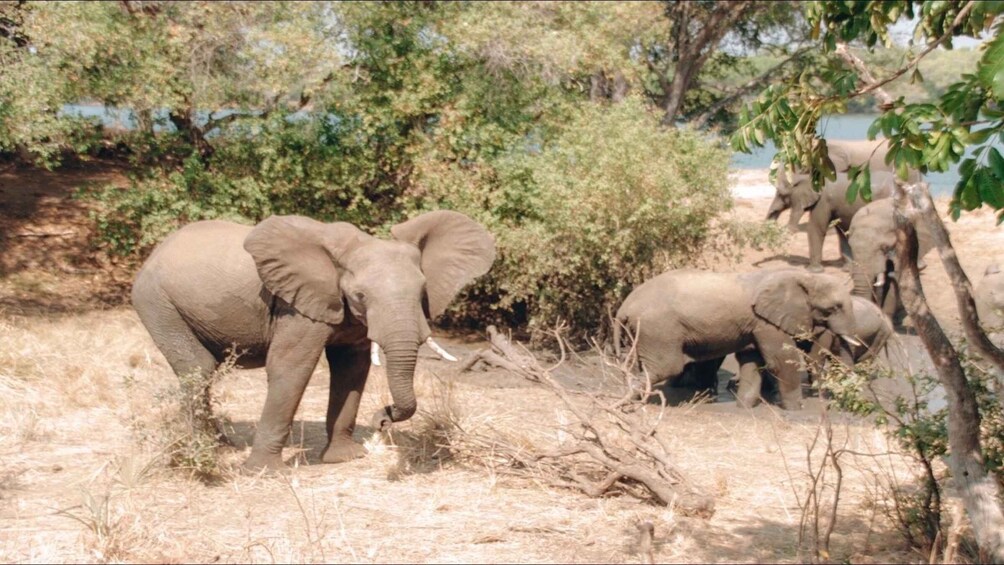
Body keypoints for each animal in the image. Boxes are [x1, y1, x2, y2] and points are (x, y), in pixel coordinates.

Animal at [131, 210, 496, 472]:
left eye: (422, 291)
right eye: (361, 296)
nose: (382, 419)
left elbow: (351, 370)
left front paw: (345, 459)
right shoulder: (297, 305)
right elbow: (291, 367)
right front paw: (264, 473)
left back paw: (222, 445)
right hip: (156, 302)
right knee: (199, 367)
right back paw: (206, 447)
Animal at [613, 268, 857, 410]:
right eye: (834, 308)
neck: (804, 276)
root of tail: (623, 307)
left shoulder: (755, 324)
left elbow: (752, 361)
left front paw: (744, 407)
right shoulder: (766, 322)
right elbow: (780, 361)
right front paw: (796, 410)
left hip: (642, 332)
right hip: (658, 329)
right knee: (665, 367)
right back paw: (629, 401)